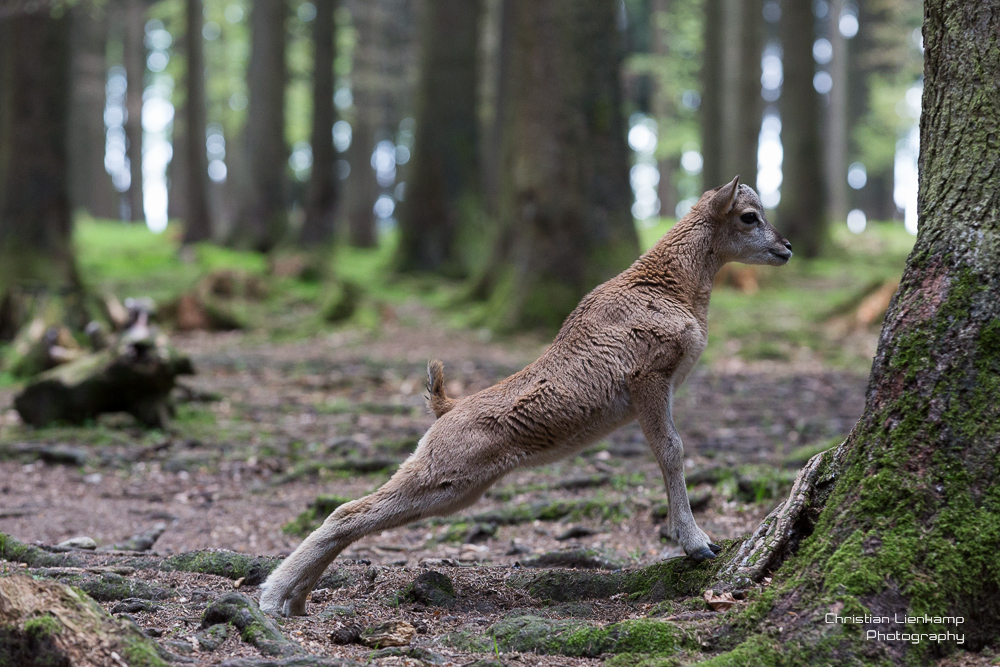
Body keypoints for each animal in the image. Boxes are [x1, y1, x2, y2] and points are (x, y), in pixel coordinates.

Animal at [262, 176, 792, 616]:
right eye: (750, 216)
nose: (786, 246)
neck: (672, 288)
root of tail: (445, 408)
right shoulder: (649, 378)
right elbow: (672, 450)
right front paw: (698, 543)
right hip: (443, 474)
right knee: (346, 511)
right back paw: (273, 596)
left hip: (458, 488)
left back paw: (293, 599)